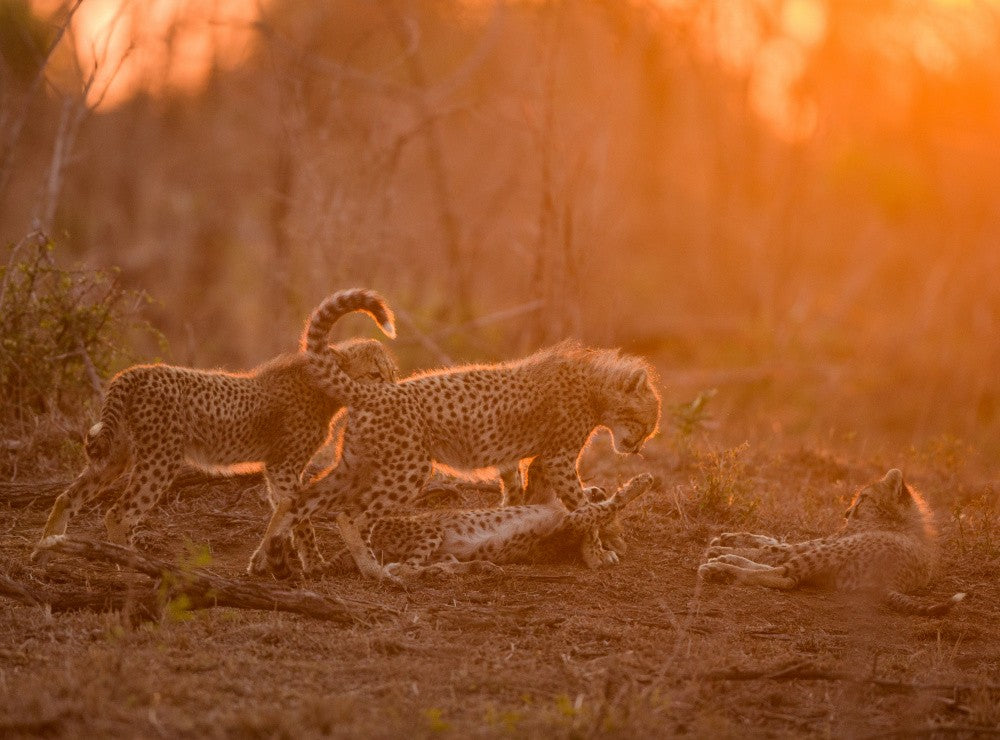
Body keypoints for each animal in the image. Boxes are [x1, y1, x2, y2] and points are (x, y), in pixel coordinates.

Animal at [31, 289, 398, 573]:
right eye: (375, 374)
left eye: (392, 373)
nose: (395, 391)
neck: (323, 389)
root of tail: (133, 372)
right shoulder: (283, 466)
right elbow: (298, 514)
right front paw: (313, 563)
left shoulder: (276, 470)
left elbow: (283, 511)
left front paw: (277, 559)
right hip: (161, 459)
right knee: (118, 514)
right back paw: (133, 564)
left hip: (117, 456)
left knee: (67, 496)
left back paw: (44, 551)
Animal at [335, 473, 657, 579]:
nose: (599, 488)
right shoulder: (567, 519)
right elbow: (604, 508)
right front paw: (637, 484)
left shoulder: (566, 523)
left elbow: (599, 511)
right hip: (430, 531)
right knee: (401, 568)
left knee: (413, 566)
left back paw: (472, 567)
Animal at [698, 469, 966, 616]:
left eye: (863, 498)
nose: (846, 514)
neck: (900, 518)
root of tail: (893, 582)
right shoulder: (819, 542)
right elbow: (771, 541)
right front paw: (728, 539)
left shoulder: (824, 542)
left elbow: (771, 549)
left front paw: (721, 547)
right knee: (785, 573)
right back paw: (725, 562)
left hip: (831, 552)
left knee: (786, 578)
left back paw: (719, 568)